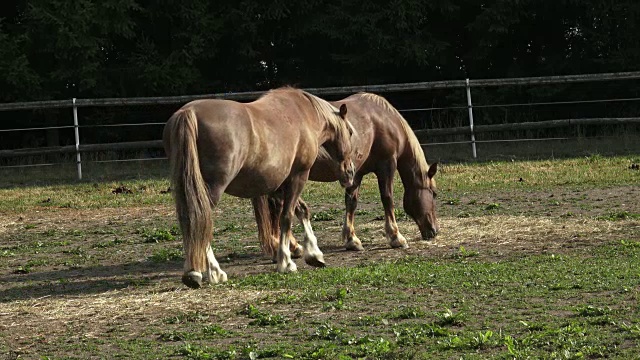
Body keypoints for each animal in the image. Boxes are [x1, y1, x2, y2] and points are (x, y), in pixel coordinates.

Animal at [162, 86, 356, 288]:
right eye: (350, 132)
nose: (350, 172)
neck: (304, 114)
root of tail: (188, 113)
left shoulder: (281, 183)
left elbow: (302, 211)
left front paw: (314, 254)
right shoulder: (298, 176)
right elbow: (286, 217)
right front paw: (286, 262)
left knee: (188, 220)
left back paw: (193, 272)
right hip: (211, 189)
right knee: (201, 220)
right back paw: (213, 272)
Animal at [256, 91, 440, 258]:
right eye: (434, 194)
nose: (434, 230)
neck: (386, 121)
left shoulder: (356, 173)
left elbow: (351, 202)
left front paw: (352, 240)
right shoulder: (387, 165)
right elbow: (388, 199)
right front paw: (396, 237)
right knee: (278, 207)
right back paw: (284, 247)